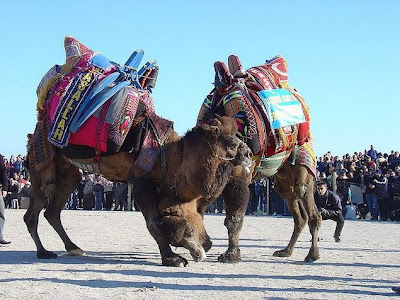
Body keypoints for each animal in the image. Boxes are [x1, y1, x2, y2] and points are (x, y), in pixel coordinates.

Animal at [197, 54, 322, 262]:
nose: (247, 153)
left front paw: (231, 254)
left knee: (308, 202)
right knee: (298, 214)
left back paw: (312, 254)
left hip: (303, 160)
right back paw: (286, 251)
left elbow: (233, 218)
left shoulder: (238, 178)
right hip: (282, 178)